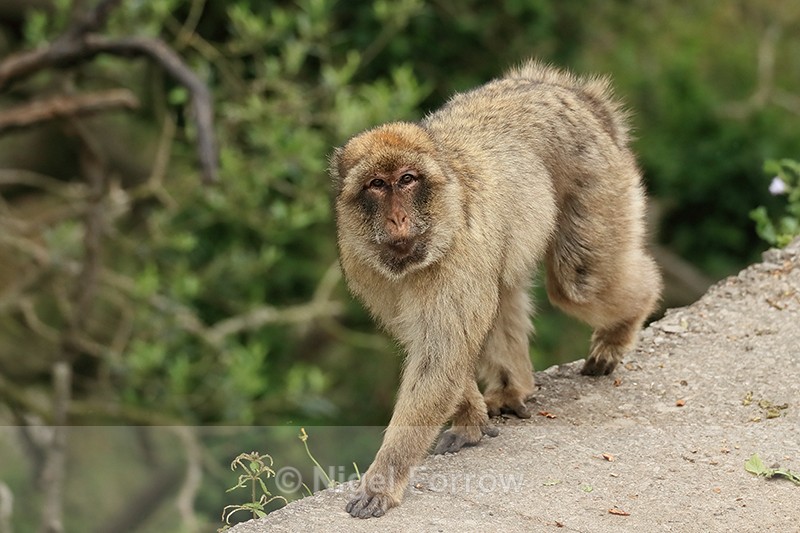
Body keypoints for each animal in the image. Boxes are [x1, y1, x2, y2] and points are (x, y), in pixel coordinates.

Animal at [329, 60, 662, 519]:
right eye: (377, 184)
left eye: (408, 179)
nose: (398, 219)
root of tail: (562, 89)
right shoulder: (366, 266)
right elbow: (432, 349)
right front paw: (471, 419)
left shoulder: (459, 254)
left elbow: (441, 355)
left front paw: (384, 479)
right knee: (504, 293)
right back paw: (512, 388)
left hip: (597, 175)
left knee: (579, 282)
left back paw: (625, 322)